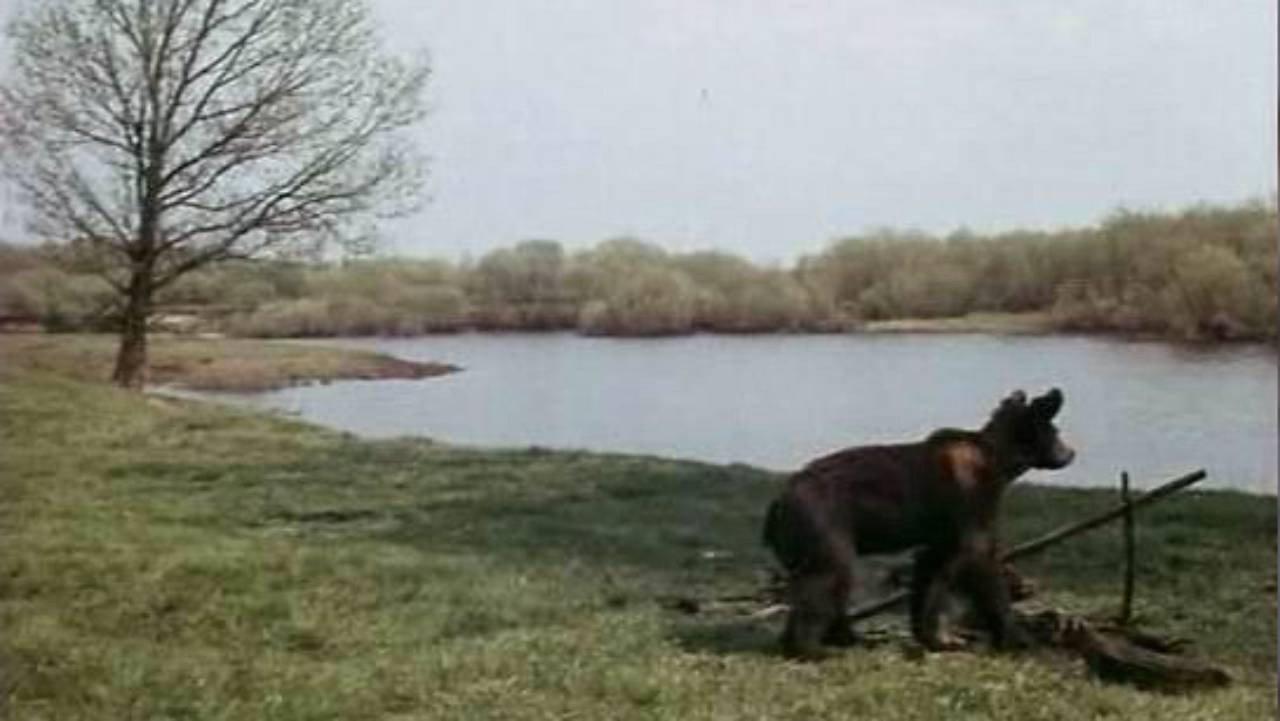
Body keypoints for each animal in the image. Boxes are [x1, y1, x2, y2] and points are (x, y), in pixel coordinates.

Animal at [762, 388, 1075, 660]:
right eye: (1056, 432)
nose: (1071, 452)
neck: (996, 457)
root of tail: (779, 501)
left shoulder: (943, 535)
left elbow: (931, 572)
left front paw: (934, 638)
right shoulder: (972, 500)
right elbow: (981, 559)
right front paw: (1016, 640)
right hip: (823, 521)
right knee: (828, 576)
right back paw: (812, 649)